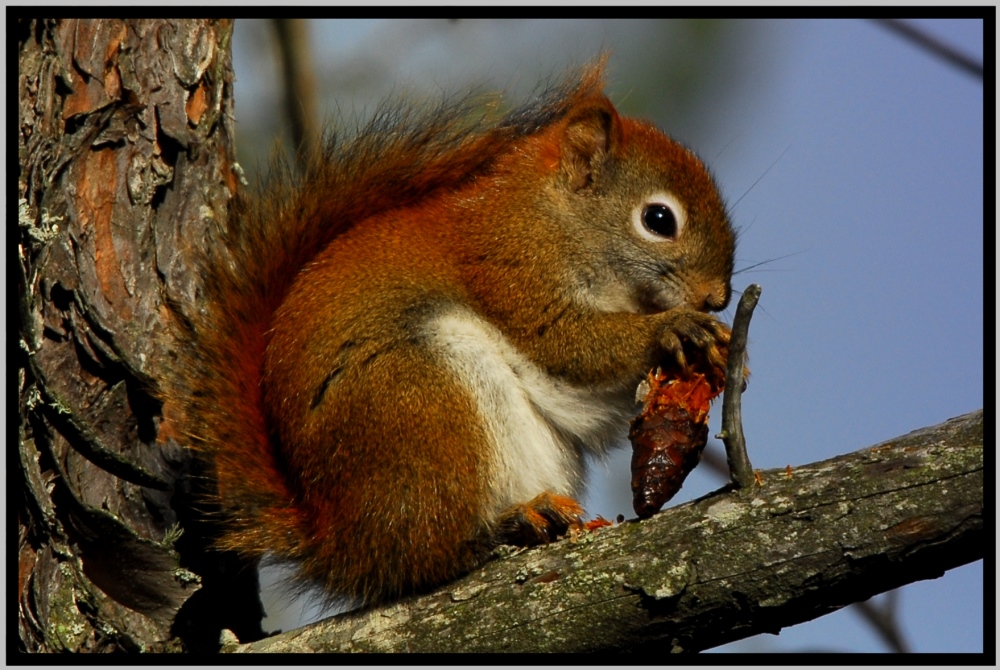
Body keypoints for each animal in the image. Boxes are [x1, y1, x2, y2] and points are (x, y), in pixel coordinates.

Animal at [170, 65, 736, 608]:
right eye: (658, 219)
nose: (716, 297)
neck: (552, 218)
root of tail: (337, 540)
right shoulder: (514, 275)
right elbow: (570, 347)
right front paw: (673, 328)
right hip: (427, 406)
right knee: (423, 554)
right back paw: (506, 526)